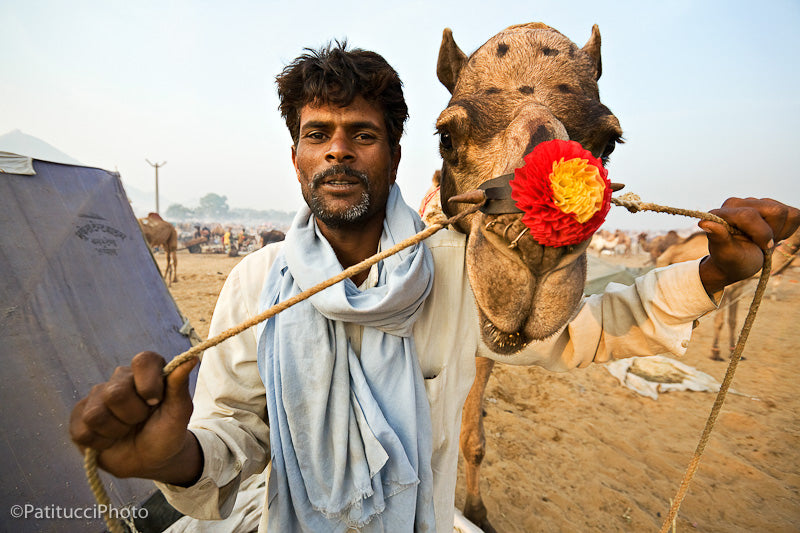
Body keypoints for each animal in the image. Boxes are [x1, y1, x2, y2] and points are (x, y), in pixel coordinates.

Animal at [434, 22, 620, 528]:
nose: (537, 247)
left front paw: (477, 512)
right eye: (445, 137)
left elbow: (472, 437)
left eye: (609, 144)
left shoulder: (483, 345)